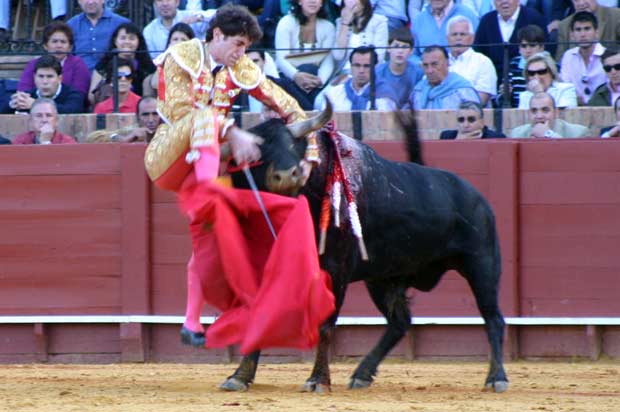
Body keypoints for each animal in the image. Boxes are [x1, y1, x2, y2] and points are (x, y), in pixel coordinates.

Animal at [220, 102, 506, 392]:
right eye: (256, 154)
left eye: (294, 145)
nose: (289, 175)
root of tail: (477, 197)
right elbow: (259, 317)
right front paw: (240, 376)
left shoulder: (335, 269)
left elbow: (325, 324)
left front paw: (317, 380)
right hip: (383, 278)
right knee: (400, 322)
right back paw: (362, 373)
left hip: (481, 265)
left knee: (493, 318)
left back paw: (496, 378)